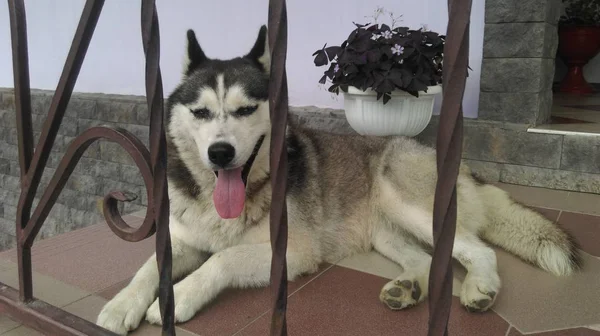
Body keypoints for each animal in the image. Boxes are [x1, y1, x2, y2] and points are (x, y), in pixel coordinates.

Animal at [96, 25, 580, 334]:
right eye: (200, 113)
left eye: (245, 110)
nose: (220, 153)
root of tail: (461, 166)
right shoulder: (181, 238)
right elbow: (147, 268)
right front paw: (122, 305)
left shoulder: (291, 251)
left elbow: (223, 260)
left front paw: (178, 299)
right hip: (385, 230)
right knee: (424, 259)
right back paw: (407, 288)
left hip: (407, 200)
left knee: (478, 250)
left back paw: (480, 288)